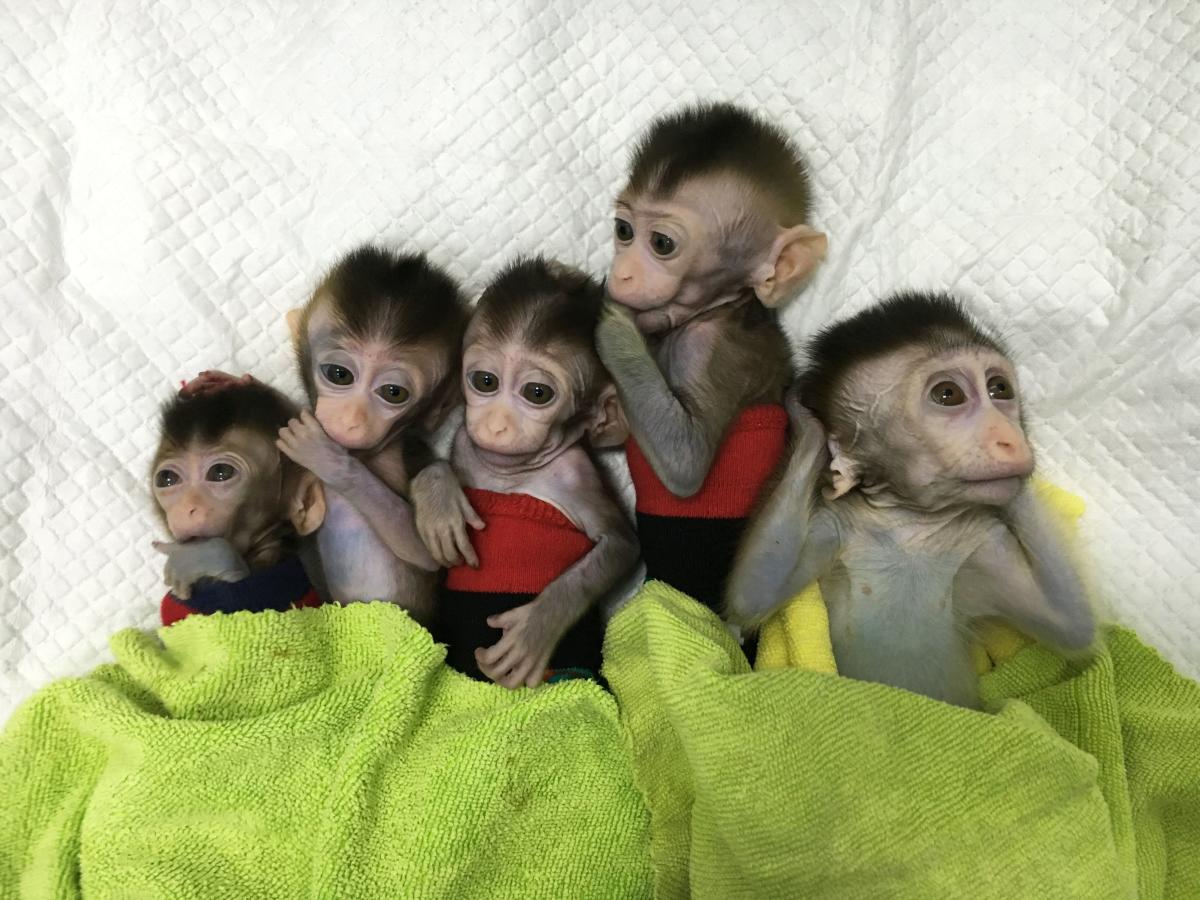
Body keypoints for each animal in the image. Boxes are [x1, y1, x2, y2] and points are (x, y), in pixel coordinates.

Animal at [411, 257, 638, 689]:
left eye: (537, 393)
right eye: (485, 381)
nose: (497, 424)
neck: (513, 475)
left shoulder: (578, 476)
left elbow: (619, 543)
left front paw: (538, 626)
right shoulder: (465, 442)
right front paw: (440, 501)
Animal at [595, 101, 828, 614]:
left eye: (662, 244)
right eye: (623, 231)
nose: (621, 275)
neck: (719, 306)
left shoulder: (709, 348)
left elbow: (686, 460)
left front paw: (611, 321)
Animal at [725, 292, 1096, 708]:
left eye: (1000, 388)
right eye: (948, 394)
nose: (1011, 437)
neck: (910, 524)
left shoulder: (985, 541)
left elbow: (1071, 622)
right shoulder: (831, 525)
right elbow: (755, 592)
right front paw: (804, 418)